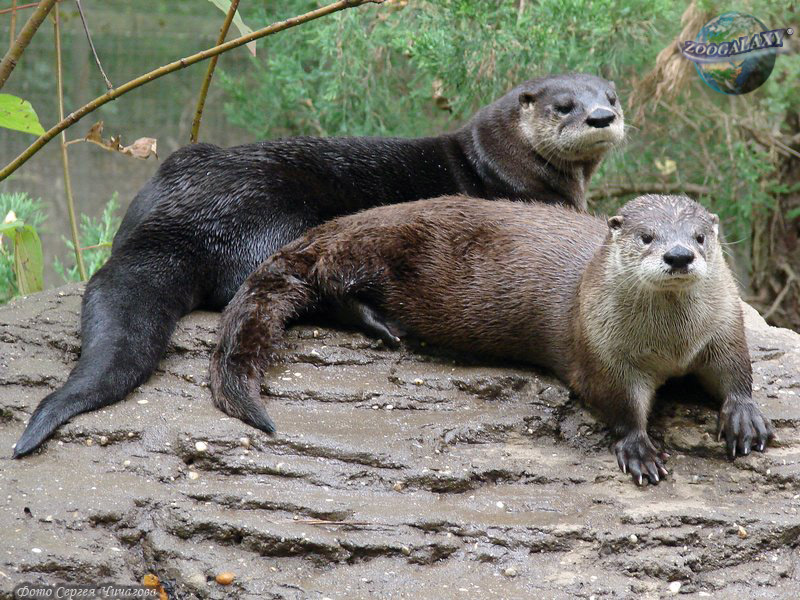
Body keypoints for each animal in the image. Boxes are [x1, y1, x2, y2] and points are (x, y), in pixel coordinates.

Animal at [12, 72, 624, 458]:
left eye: (611, 96)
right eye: (563, 105)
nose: (600, 116)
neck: (496, 163)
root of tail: (176, 221)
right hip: (285, 229)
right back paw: (381, 324)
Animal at [209, 195, 772, 486]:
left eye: (700, 236)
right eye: (646, 236)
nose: (679, 255)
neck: (670, 346)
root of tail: (331, 227)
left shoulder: (723, 327)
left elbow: (736, 369)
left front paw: (745, 417)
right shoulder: (603, 353)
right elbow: (619, 404)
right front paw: (639, 448)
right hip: (365, 250)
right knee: (331, 286)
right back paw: (384, 325)